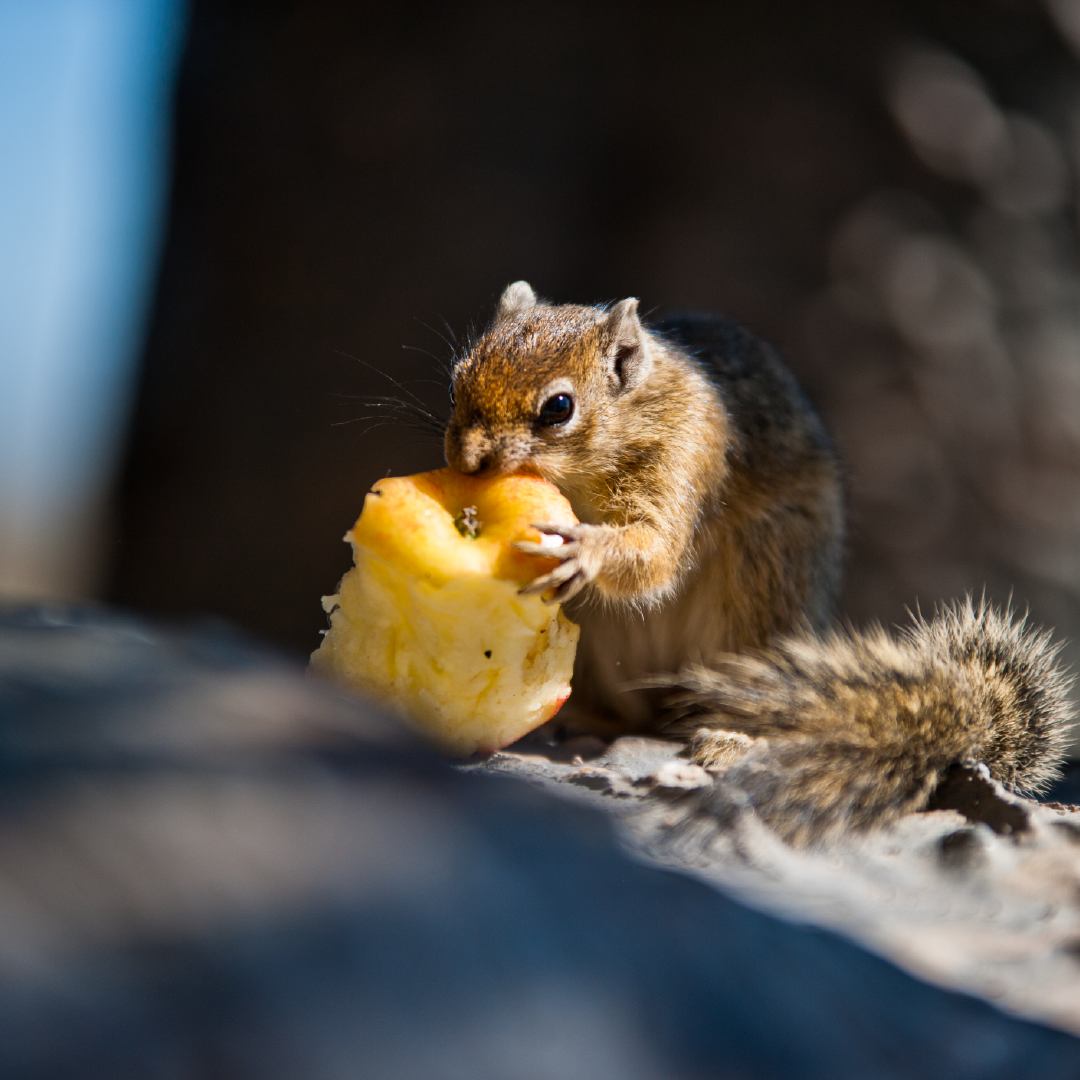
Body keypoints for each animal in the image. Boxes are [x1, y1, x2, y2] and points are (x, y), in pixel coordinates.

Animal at [440, 285, 1071, 842]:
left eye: (559, 408)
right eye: (457, 381)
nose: (469, 462)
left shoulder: (686, 456)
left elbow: (655, 553)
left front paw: (583, 550)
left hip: (759, 596)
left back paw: (730, 741)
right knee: (635, 715)